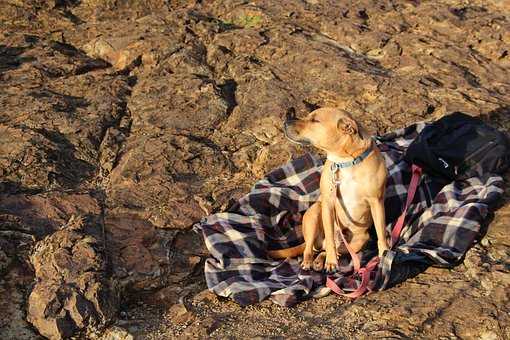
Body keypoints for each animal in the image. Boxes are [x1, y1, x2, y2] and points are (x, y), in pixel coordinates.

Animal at [268, 107, 388, 272]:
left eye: (314, 120)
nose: (286, 122)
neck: (345, 162)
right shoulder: (328, 204)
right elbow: (330, 238)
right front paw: (331, 262)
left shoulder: (377, 201)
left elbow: (381, 232)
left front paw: (385, 253)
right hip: (314, 213)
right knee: (312, 248)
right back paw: (309, 261)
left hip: (358, 241)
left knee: (327, 250)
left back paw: (320, 260)